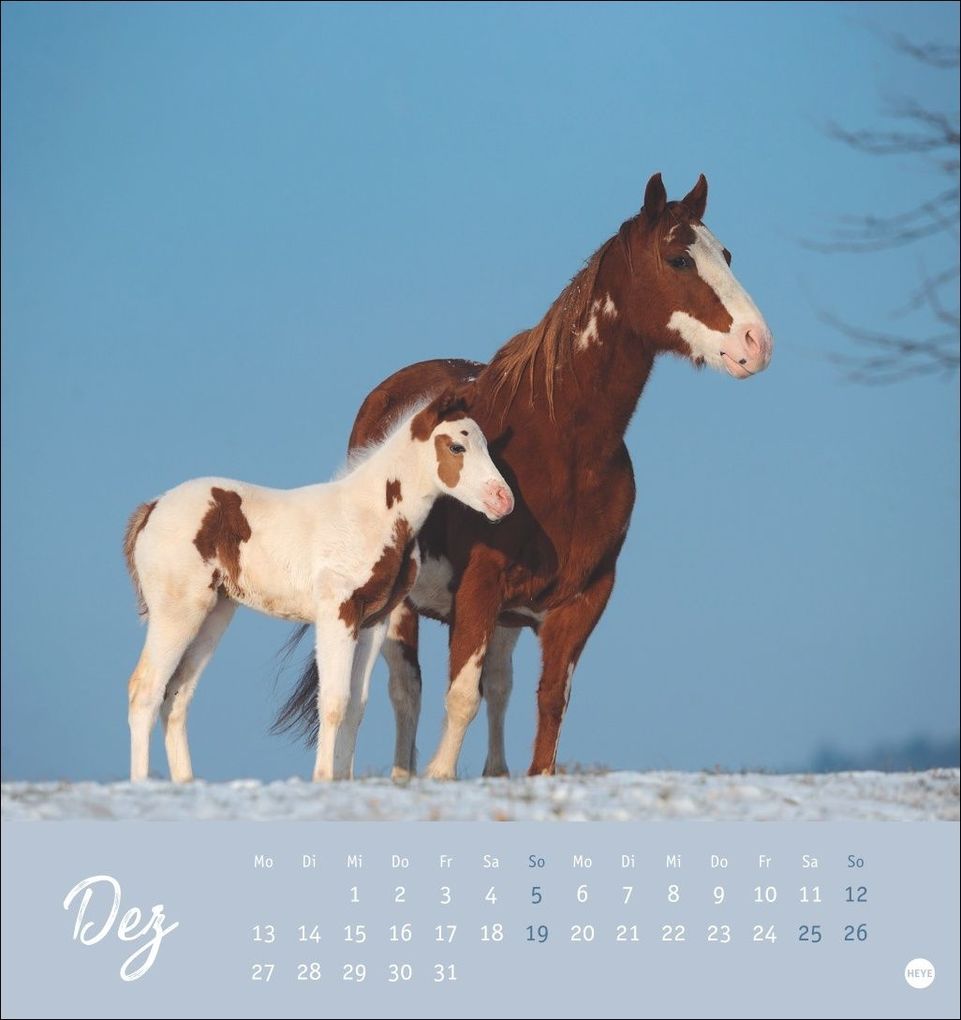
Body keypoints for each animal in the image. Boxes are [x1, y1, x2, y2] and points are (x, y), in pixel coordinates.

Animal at [123, 392, 513, 783]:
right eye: (457, 446)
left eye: (486, 445)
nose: (503, 500)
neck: (370, 515)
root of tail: (152, 508)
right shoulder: (336, 613)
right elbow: (334, 701)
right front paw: (324, 777)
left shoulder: (372, 623)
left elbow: (356, 705)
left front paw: (342, 779)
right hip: (177, 611)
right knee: (145, 689)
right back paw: (142, 782)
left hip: (214, 613)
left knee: (176, 695)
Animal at [275, 172, 773, 779]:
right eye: (679, 259)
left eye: (726, 255)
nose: (757, 342)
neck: (564, 447)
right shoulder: (479, 591)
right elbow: (458, 698)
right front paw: (440, 776)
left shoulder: (579, 601)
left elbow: (548, 702)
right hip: (400, 609)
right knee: (405, 693)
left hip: (508, 620)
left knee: (498, 687)